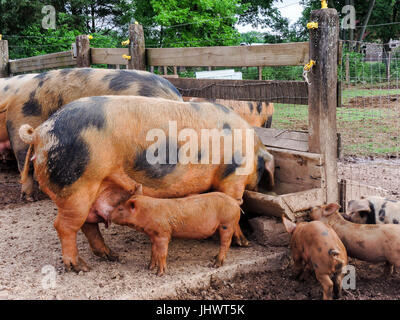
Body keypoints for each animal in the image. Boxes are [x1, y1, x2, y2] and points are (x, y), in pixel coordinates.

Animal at [19, 95, 276, 272]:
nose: (260, 188)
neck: (253, 151)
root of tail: (39, 132)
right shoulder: (232, 178)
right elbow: (235, 207)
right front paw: (244, 244)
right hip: (75, 186)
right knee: (64, 226)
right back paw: (80, 267)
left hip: (88, 189)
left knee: (87, 224)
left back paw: (112, 256)